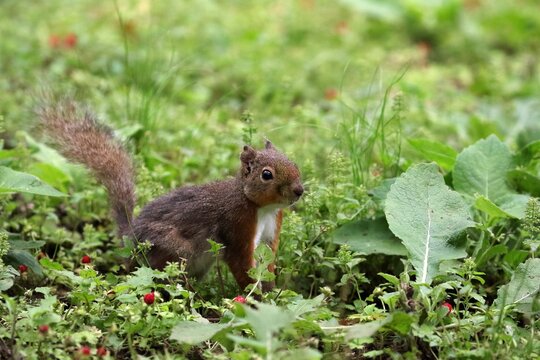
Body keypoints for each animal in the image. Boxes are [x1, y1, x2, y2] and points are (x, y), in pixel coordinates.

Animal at [38, 100, 304, 292]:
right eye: (266, 174)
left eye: (293, 162)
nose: (299, 191)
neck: (261, 207)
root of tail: (130, 240)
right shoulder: (237, 226)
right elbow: (242, 265)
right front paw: (255, 298)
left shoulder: (271, 233)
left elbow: (267, 264)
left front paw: (272, 293)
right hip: (175, 251)